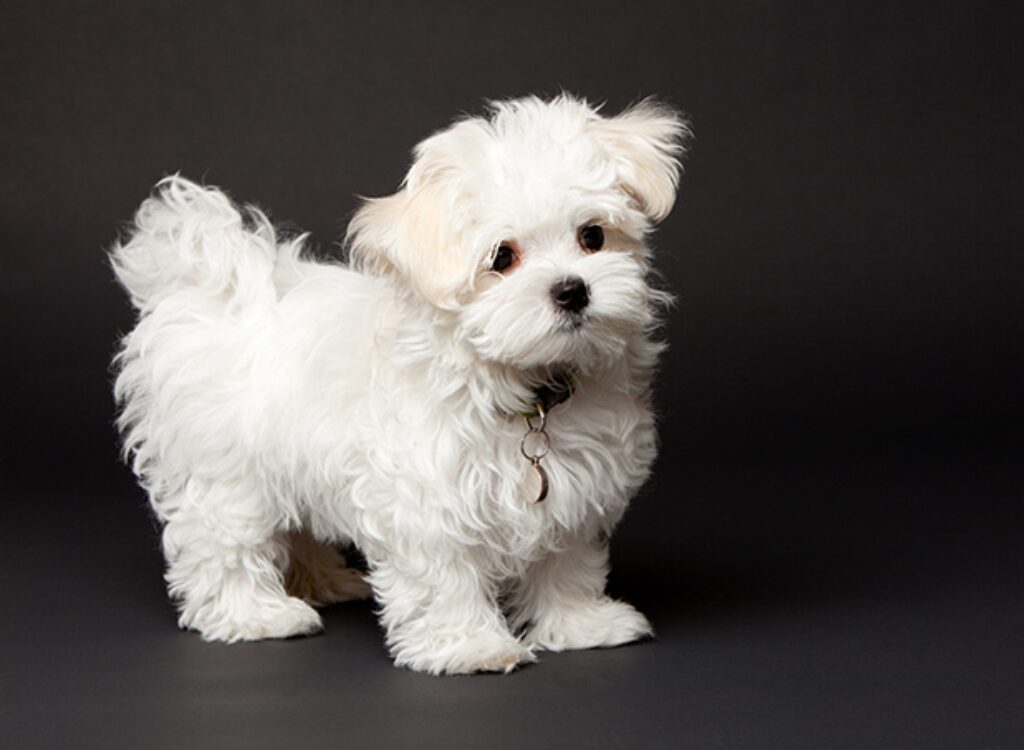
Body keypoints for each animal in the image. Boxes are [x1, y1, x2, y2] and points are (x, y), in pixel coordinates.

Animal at [110, 93, 688, 672]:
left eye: (592, 236)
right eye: (502, 257)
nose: (573, 290)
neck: (526, 387)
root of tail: (208, 286)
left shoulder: (574, 487)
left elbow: (565, 561)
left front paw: (581, 624)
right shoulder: (428, 497)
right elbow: (445, 575)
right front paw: (470, 645)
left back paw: (324, 581)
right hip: (226, 471)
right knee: (222, 540)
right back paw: (256, 613)